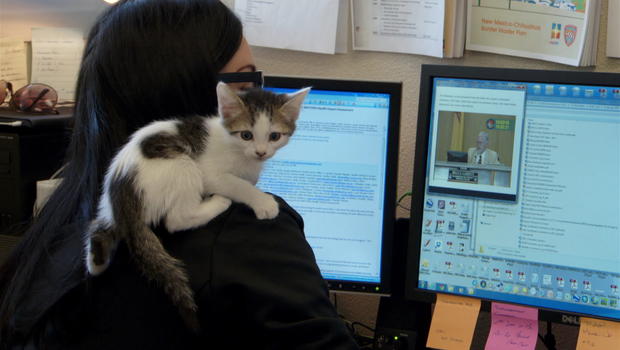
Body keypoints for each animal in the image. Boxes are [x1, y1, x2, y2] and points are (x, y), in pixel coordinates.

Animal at [83, 82, 310, 330]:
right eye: (246, 135)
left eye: (274, 136)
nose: (261, 152)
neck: (235, 148)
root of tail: (122, 188)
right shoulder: (211, 173)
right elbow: (238, 184)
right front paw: (262, 201)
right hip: (182, 164)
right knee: (176, 220)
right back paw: (218, 202)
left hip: (106, 206)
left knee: (98, 228)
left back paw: (97, 261)